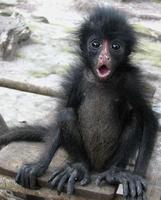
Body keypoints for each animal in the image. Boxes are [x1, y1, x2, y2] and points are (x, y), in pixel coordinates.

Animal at [0, 6, 158, 200]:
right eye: (95, 44)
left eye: (115, 46)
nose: (104, 57)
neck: (99, 80)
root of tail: (97, 167)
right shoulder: (76, 77)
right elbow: (64, 110)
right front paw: (38, 165)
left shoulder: (130, 80)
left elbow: (149, 119)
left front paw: (137, 176)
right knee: (66, 114)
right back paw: (79, 167)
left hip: (111, 160)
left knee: (135, 117)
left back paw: (114, 172)